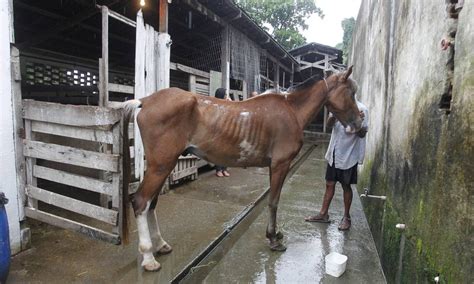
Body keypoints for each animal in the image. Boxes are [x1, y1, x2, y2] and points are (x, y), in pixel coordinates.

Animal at [119, 65, 362, 270]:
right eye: (351, 93)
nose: (360, 125)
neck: (291, 110)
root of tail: (145, 101)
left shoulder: (275, 167)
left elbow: (273, 200)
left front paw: (276, 234)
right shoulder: (280, 165)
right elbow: (274, 202)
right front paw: (273, 239)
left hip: (163, 166)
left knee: (151, 204)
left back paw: (161, 245)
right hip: (161, 165)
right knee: (141, 202)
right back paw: (148, 257)